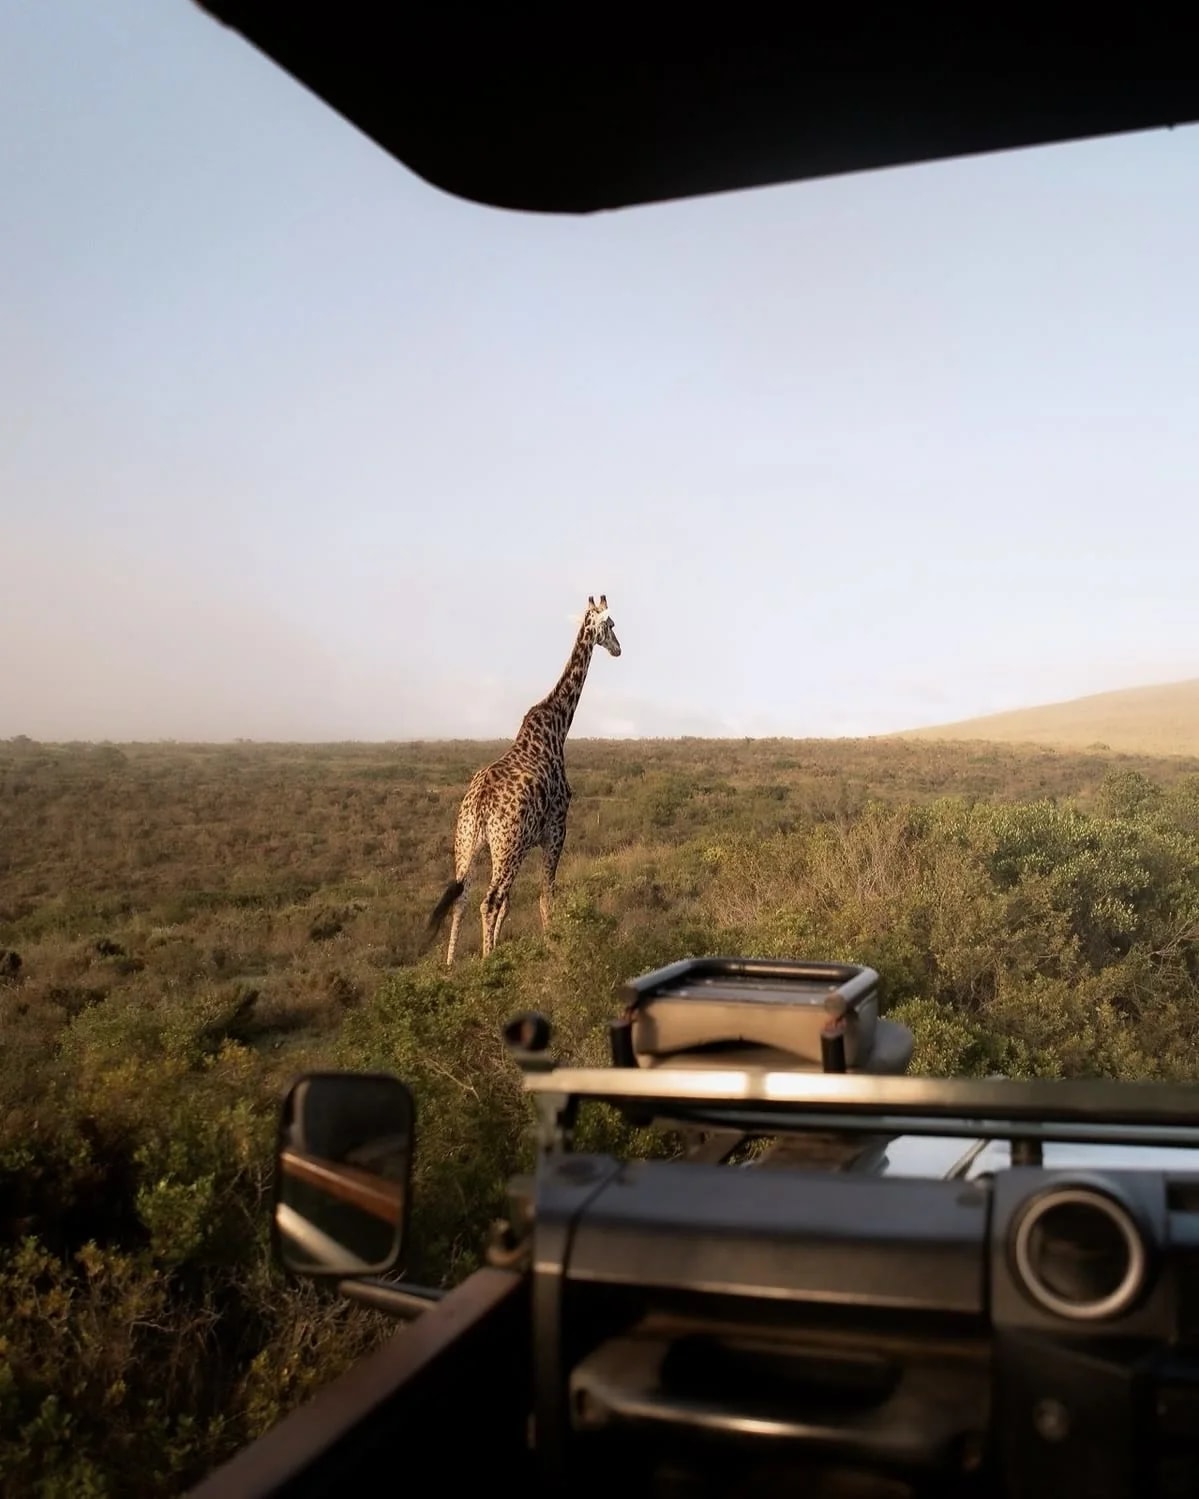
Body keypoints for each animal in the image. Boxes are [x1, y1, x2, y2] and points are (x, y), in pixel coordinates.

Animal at [425, 594, 622, 965]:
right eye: (612, 624)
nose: (619, 648)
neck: (558, 725)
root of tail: (481, 803)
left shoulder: (529, 840)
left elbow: (512, 903)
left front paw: (505, 946)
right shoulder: (556, 828)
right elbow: (546, 894)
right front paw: (553, 944)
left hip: (469, 841)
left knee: (463, 897)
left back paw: (451, 966)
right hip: (507, 845)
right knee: (489, 901)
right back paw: (487, 963)